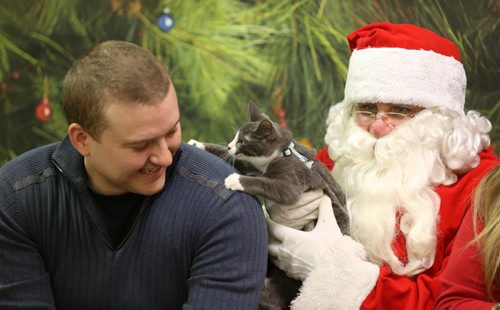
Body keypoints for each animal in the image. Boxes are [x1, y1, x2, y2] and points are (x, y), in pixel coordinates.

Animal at [189, 101, 350, 308]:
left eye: (242, 141)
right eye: (235, 138)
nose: (230, 145)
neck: (282, 153)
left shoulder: (292, 181)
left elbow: (267, 184)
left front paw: (235, 180)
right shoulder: (253, 166)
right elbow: (235, 159)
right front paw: (199, 144)